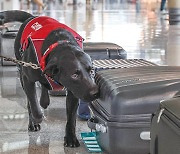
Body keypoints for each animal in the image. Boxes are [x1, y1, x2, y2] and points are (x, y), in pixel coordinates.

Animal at [0, 10, 98, 147]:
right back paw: (33, 122)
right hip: (21, 71)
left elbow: (71, 117)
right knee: (30, 101)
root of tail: (32, 16)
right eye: (74, 75)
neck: (60, 43)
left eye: (92, 71)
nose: (96, 93)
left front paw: (70, 138)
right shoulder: (27, 79)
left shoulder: (73, 91)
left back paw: (44, 100)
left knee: (44, 85)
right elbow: (34, 106)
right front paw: (37, 118)